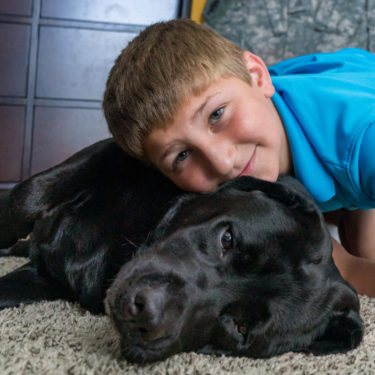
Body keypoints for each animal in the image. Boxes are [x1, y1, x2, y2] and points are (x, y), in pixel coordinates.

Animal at [0, 139, 364, 364]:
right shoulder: (110, 155)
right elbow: (24, 198)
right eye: (227, 239)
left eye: (240, 329)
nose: (146, 313)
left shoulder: (45, 279)